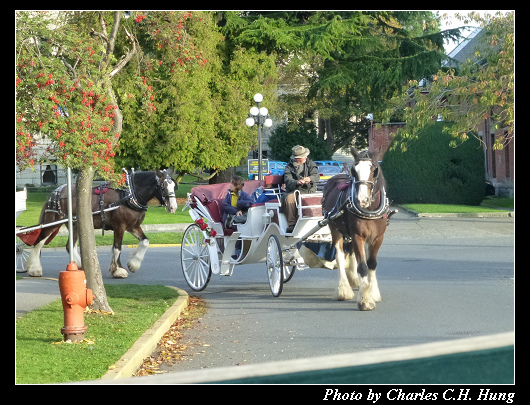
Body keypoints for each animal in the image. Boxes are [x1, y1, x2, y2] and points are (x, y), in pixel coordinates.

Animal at [24, 168, 177, 278]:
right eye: (163, 186)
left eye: (174, 186)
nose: (173, 207)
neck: (129, 194)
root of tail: (56, 191)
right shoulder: (120, 226)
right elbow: (117, 248)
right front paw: (118, 270)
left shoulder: (133, 226)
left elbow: (145, 242)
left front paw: (133, 264)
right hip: (52, 222)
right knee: (39, 242)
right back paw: (34, 269)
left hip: (75, 224)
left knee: (69, 246)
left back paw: (81, 266)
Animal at [320, 148, 390, 310]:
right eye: (354, 170)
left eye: (374, 170)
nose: (362, 199)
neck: (370, 210)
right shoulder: (358, 235)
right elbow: (363, 266)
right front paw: (365, 300)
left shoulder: (378, 238)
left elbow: (371, 263)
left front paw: (373, 292)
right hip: (335, 228)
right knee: (340, 256)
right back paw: (343, 289)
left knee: (351, 253)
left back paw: (353, 279)